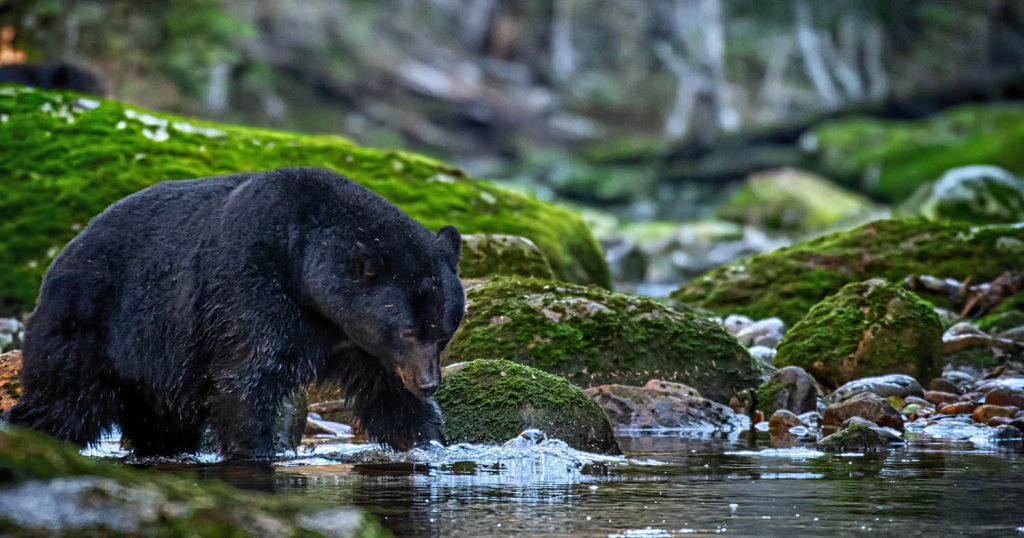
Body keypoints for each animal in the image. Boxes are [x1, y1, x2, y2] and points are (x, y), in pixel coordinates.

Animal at [6, 167, 465, 458]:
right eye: (407, 330)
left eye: (443, 332)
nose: (429, 384)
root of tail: (61, 257)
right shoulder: (251, 291)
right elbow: (246, 378)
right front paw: (257, 449)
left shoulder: (361, 343)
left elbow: (389, 397)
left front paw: (427, 442)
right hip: (93, 325)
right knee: (64, 402)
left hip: (155, 371)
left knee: (161, 424)